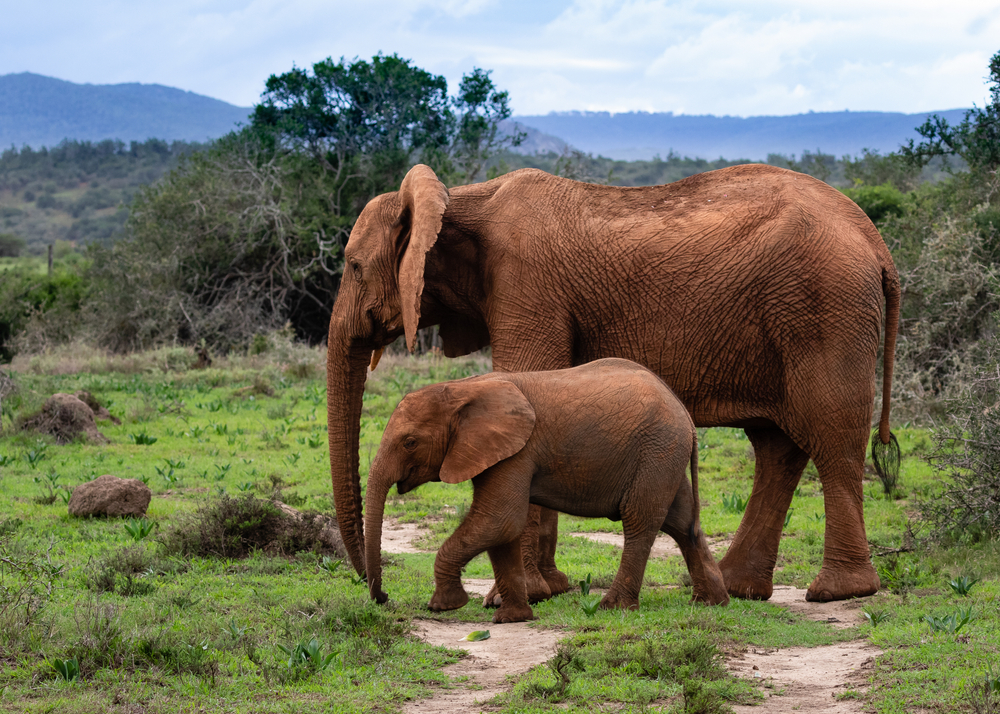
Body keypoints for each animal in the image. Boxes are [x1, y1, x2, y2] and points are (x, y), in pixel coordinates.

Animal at [364, 358, 724, 620]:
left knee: (639, 520)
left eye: (410, 442)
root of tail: (685, 413)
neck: (463, 388)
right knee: (682, 524)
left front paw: (444, 605)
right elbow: (502, 528)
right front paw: (512, 618)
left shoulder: (517, 452)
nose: (383, 598)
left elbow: (498, 520)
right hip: (665, 454)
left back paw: (612, 607)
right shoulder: (498, 452)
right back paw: (710, 602)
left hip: (657, 450)